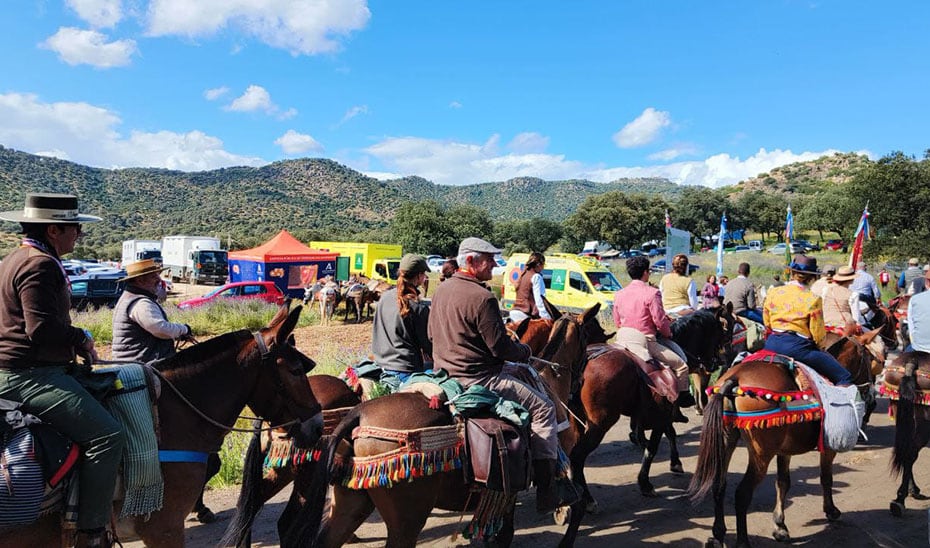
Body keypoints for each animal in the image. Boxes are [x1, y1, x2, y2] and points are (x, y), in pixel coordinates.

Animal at [294, 308, 592, 548]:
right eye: (590, 339)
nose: (580, 387)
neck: (550, 382)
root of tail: (357, 415)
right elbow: (573, 505)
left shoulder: (503, 490)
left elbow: (501, 534)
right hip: (408, 517)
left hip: (352, 501)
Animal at [688, 346, 864, 548]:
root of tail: (733, 380)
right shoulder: (827, 449)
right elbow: (826, 478)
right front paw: (831, 510)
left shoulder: (784, 450)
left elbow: (782, 482)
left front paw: (780, 527)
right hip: (761, 454)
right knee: (742, 493)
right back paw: (742, 542)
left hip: (726, 441)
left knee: (718, 486)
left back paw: (717, 536)